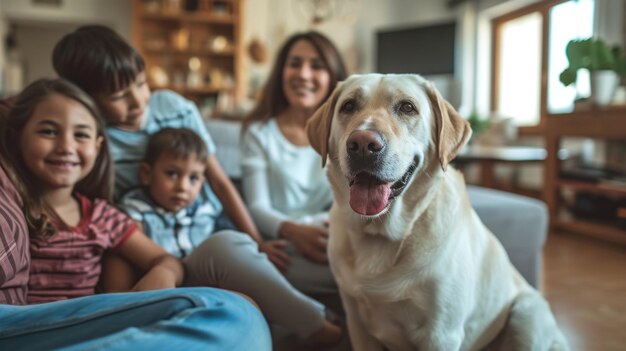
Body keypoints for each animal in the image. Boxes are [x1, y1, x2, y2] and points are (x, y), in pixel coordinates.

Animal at [304, 73, 564, 350]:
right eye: (348, 106)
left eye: (407, 107)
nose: (363, 143)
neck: (381, 234)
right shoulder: (357, 323)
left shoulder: (441, 333)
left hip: (526, 315)